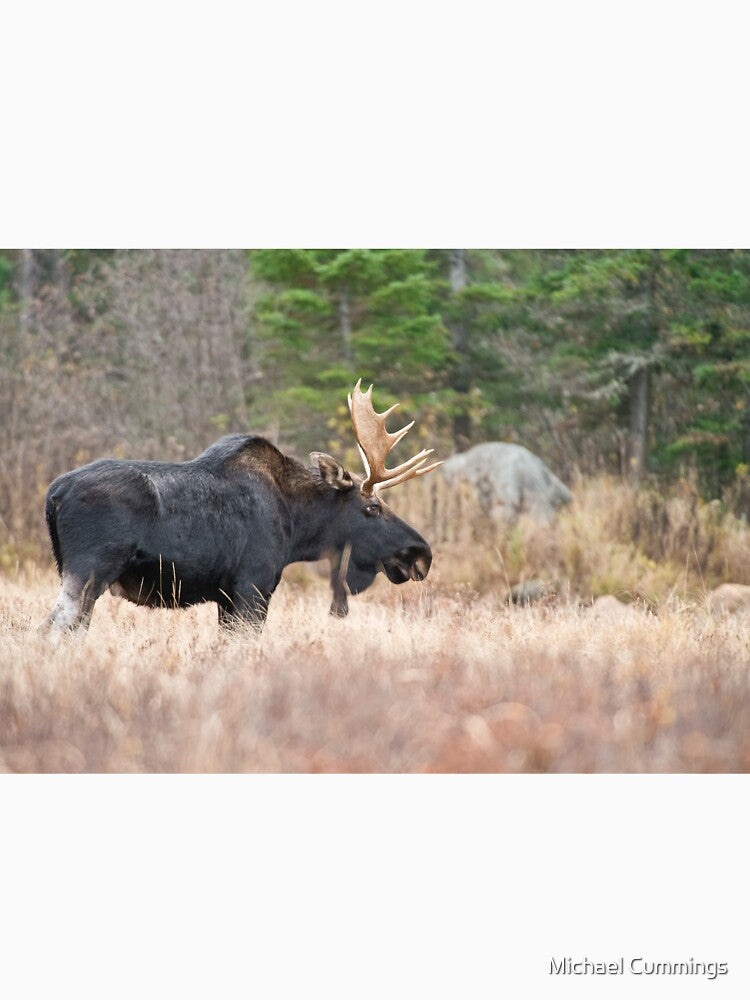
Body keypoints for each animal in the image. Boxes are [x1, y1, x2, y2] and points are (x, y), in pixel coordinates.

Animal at [42, 381, 442, 632]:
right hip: (90, 570)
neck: (298, 528)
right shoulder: (253, 584)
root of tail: (54, 495)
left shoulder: (225, 595)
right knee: (56, 628)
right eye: (372, 507)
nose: (421, 554)